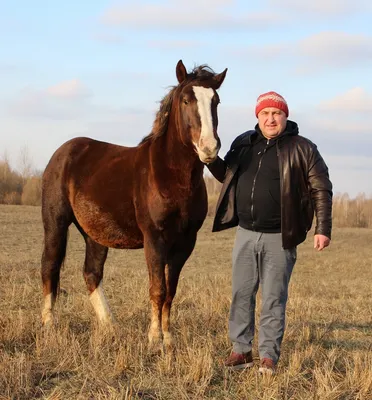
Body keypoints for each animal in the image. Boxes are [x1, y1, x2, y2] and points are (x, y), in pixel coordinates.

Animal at [40, 58, 227, 346]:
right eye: (185, 100)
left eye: (215, 101)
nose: (209, 148)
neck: (170, 176)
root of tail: (62, 153)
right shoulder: (154, 239)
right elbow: (158, 288)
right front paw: (154, 338)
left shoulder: (185, 243)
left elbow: (171, 290)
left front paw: (168, 337)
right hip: (55, 225)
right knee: (49, 267)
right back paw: (49, 325)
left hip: (95, 234)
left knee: (91, 273)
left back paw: (110, 326)